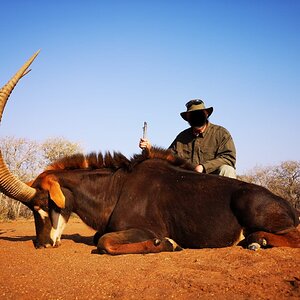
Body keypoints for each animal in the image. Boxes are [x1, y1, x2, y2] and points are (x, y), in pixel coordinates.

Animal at [0, 51, 298, 253]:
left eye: (41, 205)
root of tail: (287, 205)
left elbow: (105, 242)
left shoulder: (143, 229)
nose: (41, 244)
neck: (116, 187)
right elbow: (99, 237)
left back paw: (257, 241)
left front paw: (168, 243)